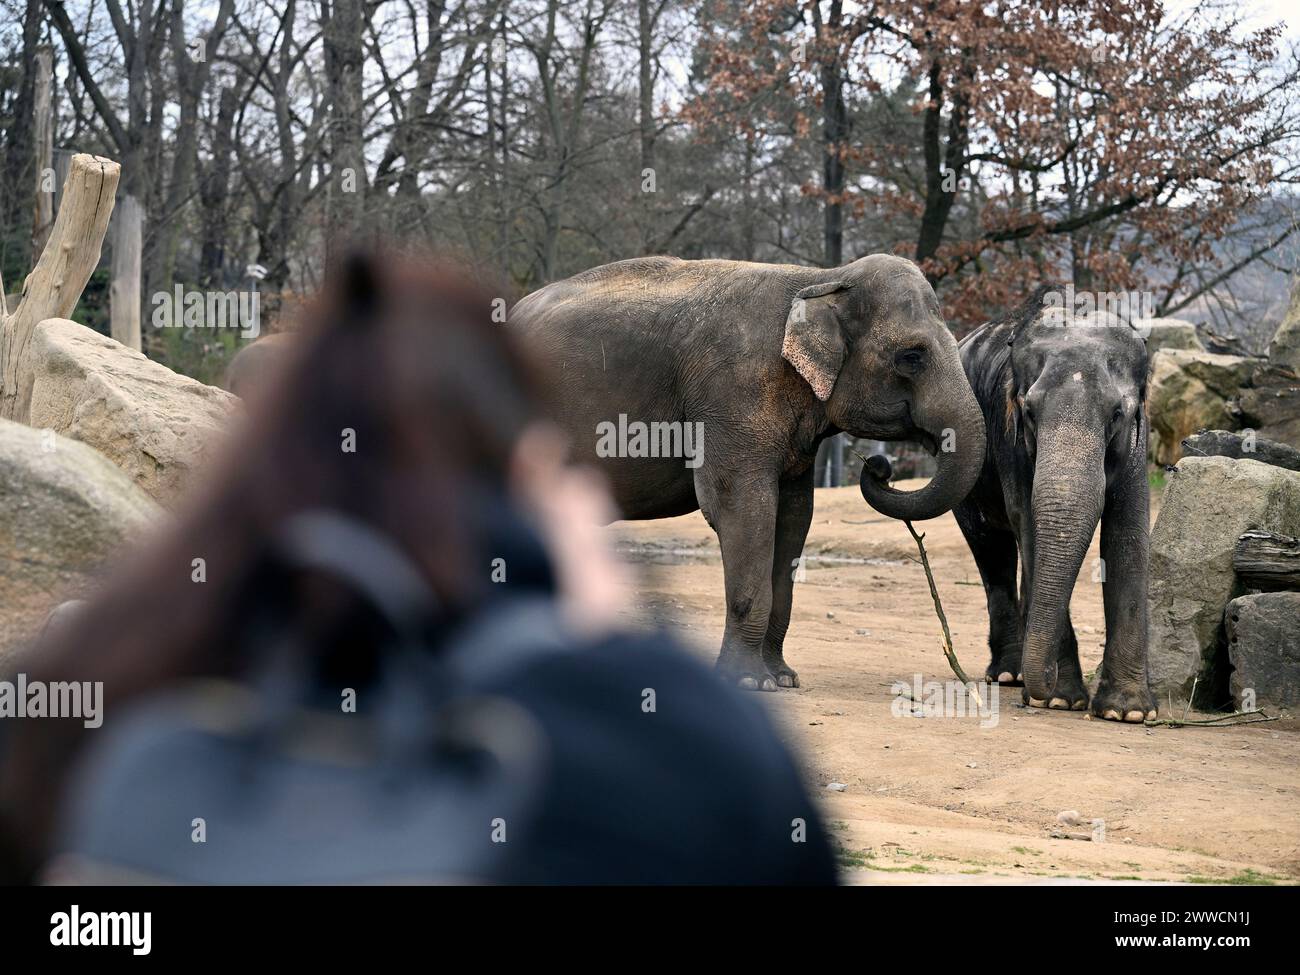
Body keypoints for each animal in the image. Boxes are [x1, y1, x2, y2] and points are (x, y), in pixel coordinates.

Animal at [509, 256, 982, 691]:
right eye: (911, 357)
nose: (878, 466)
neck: (821, 278)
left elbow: (794, 517)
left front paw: (784, 678)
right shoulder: (732, 395)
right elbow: (740, 508)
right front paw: (752, 683)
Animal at [951, 286, 1154, 722]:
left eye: (1117, 413)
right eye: (1029, 411)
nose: (1042, 684)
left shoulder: (1139, 440)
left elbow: (1126, 536)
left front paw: (1127, 713)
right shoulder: (1010, 442)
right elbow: (1029, 525)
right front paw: (1061, 700)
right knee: (993, 550)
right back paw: (1009, 676)